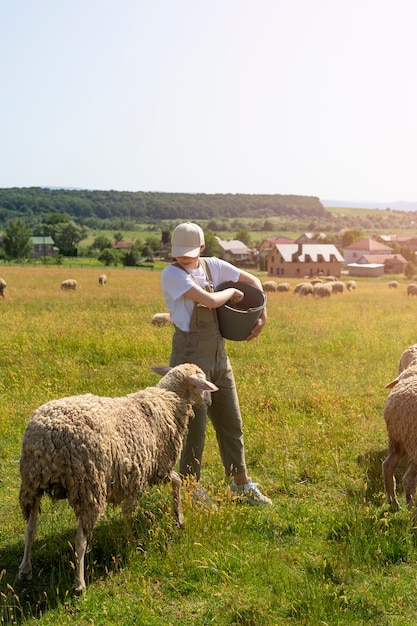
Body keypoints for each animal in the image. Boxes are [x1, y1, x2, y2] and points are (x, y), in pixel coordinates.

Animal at [17, 360, 218, 588]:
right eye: (202, 383)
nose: (210, 401)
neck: (168, 401)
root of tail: (47, 437)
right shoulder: (156, 468)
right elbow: (174, 483)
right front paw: (177, 518)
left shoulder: (135, 473)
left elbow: (130, 509)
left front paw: (131, 536)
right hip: (89, 487)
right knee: (80, 539)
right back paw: (79, 583)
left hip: (32, 483)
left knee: (30, 529)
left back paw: (25, 569)